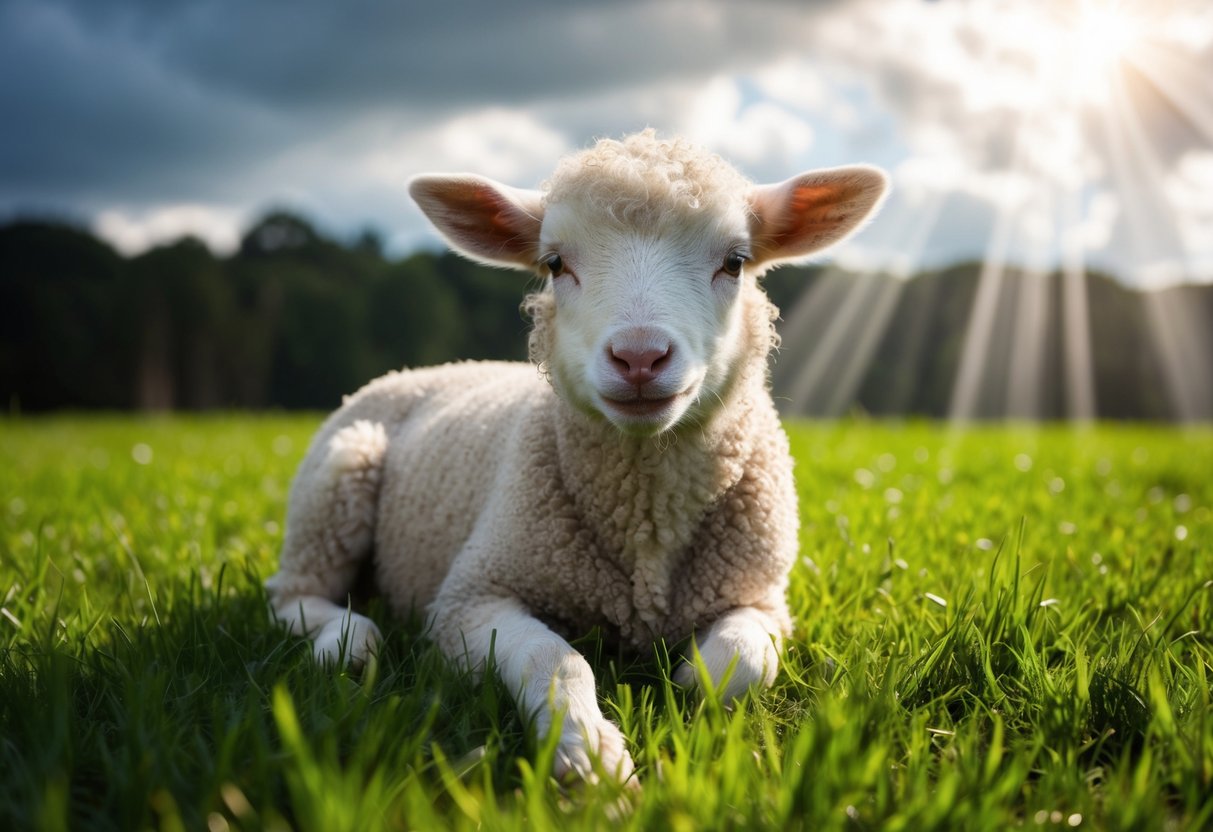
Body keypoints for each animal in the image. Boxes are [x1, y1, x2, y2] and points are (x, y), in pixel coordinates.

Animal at [265, 130, 887, 785]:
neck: (645, 520)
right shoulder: (469, 596)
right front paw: (590, 758)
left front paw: (685, 687)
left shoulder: (762, 597)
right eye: (556, 264)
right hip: (337, 476)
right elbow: (555, 658)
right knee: (292, 594)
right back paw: (350, 641)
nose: (639, 357)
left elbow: (735, 665)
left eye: (736, 261)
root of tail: (415, 370)